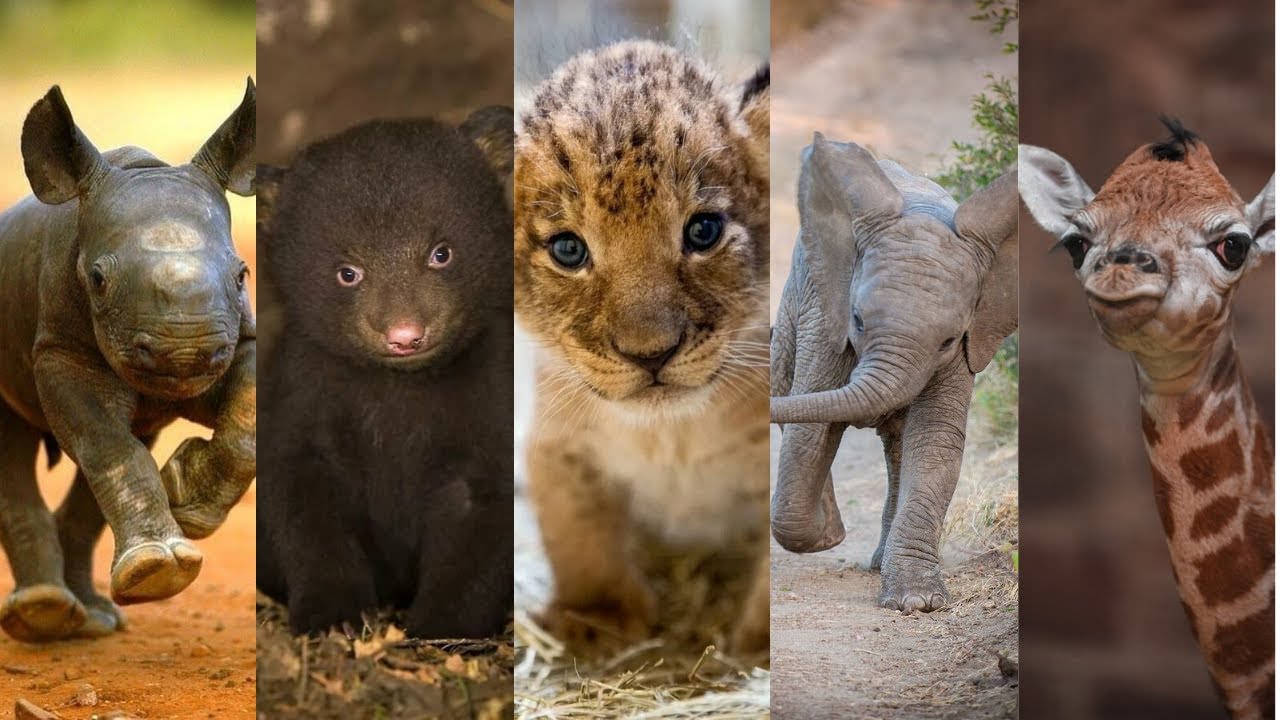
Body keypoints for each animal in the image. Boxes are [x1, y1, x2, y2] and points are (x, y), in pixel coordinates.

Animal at [0, 82, 257, 638]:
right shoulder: (61, 351)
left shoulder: (238, 338)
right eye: (98, 280)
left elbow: (245, 421)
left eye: (242, 274)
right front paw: (158, 571)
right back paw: (43, 615)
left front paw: (189, 501)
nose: (185, 352)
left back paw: (92, 620)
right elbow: (107, 443)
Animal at [254, 109, 514, 635]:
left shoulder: (493, 400)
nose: (404, 334)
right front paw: (332, 616)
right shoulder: (304, 394)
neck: (400, 388)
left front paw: (443, 628)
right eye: (347, 272)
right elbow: (306, 507)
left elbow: (482, 521)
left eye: (441, 253)